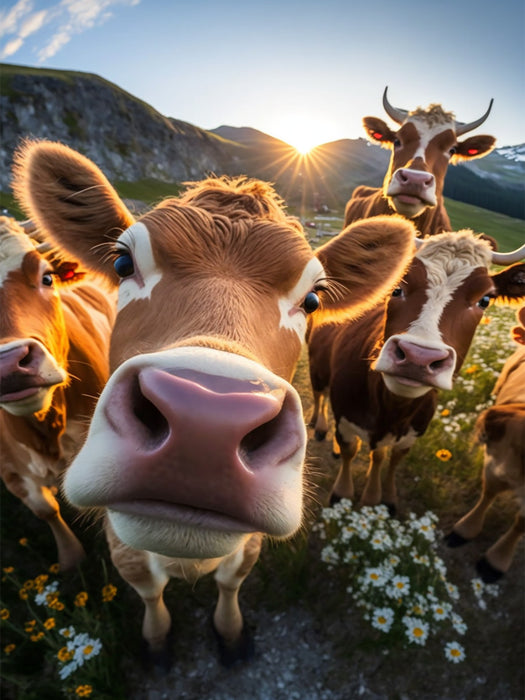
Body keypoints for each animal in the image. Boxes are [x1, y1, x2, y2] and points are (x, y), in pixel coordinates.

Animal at [307, 230, 525, 513]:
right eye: (397, 286)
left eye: (485, 300)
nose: (418, 357)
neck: (392, 409)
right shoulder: (345, 415)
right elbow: (350, 450)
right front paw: (343, 492)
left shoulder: (413, 432)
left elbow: (389, 459)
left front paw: (382, 496)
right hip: (317, 363)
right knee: (319, 394)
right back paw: (319, 424)